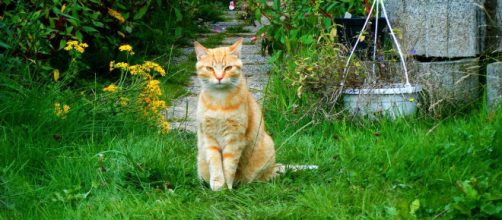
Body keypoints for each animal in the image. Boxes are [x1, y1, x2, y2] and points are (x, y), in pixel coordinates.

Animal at [194, 38, 276, 190]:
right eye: (210, 69)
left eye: (228, 68)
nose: (219, 77)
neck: (219, 100)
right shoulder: (209, 137)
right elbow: (215, 164)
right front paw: (218, 185)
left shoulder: (234, 138)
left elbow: (229, 166)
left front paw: (228, 187)